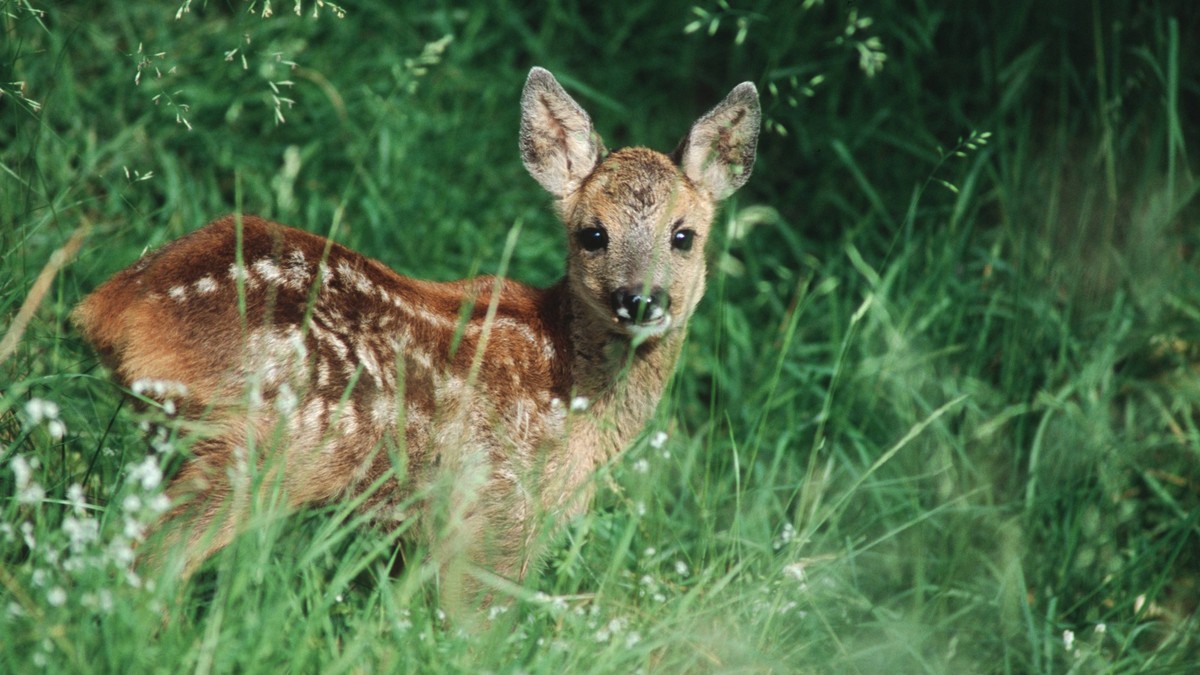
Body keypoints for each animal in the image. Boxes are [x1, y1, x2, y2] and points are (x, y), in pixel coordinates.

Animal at [72, 67, 760, 613]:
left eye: (684, 236)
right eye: (592, 234)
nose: (641, 300)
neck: (572, 391)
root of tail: (112, 307)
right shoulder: (498, 504)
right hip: (262, 442)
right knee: (154, 556)